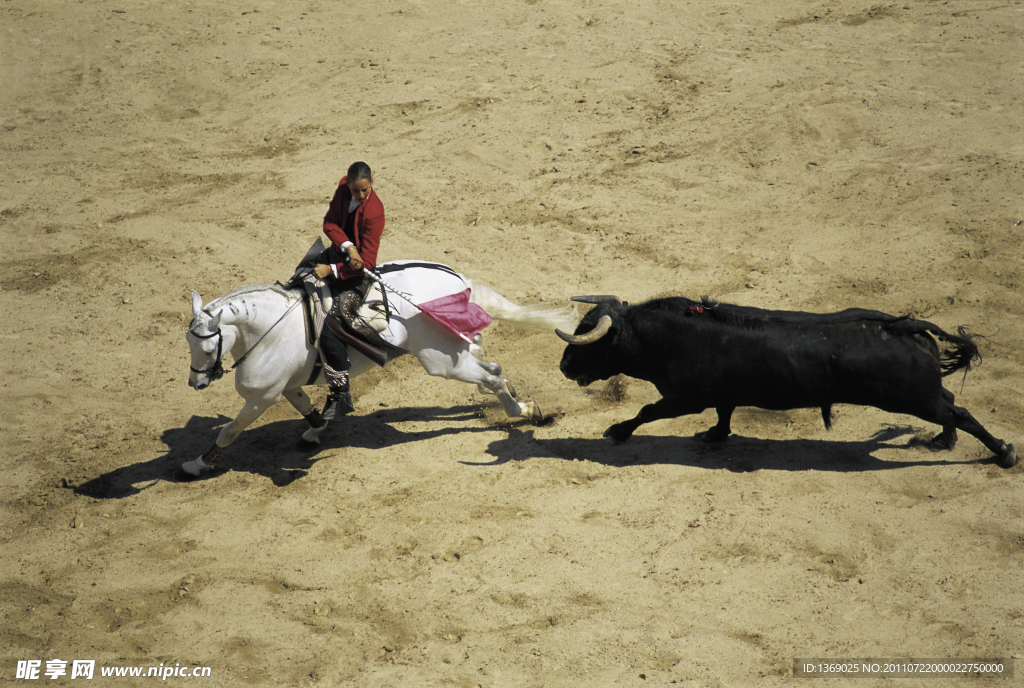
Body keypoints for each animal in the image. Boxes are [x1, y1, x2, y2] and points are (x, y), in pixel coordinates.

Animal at [180, 261, 573, 475]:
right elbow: (308, 408)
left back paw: (526, 412)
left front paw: (196, 465)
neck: (269, 328)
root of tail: (460, 281)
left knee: (491, 374)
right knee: (487, 365)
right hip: (453, 352)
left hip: (441, 361)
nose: (196, 383)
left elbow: (229, 432)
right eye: (188, 342)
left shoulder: (261, 398)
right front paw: (315, 432)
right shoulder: (287, 387)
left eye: (207, 345)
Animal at [561, 294, 1015, 466]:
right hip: (922, 394)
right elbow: (724, 414)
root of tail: (904, 324)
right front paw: (714, 436)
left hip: (911, 397)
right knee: (951, 405)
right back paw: (944, 440)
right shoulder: (720, 393)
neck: (656, 337)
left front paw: (616, 431)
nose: (564, 366)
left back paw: (1003, 452)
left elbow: (645, 411)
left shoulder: (683, 398)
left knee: (960, 412)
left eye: (589, 340)